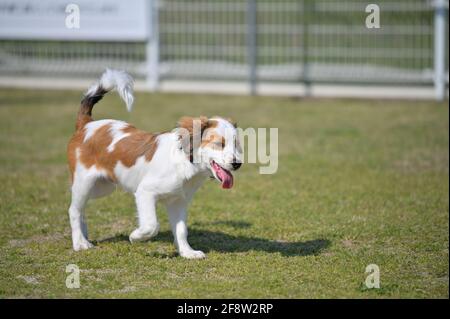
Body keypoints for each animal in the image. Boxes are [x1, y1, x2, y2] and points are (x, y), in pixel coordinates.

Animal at [66, 70, 241, 260]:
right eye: (219, 144)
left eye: (236, 144)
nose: (238, 164)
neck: (184, 161)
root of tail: (87, 124)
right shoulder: (145, 193)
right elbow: (152, 225)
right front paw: (135, 236)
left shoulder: (178, 201)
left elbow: (181, 230)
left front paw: (187, 252)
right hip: (84, 182)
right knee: (73, 210)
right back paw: (79, 243)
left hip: (103, 187)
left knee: (81, 209)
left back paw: (84, 236)